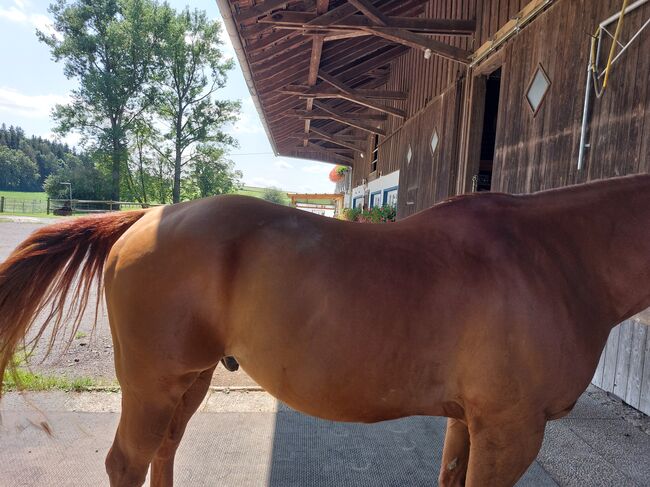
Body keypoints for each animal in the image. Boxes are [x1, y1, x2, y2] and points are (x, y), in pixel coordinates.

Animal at [1, 176, 648, 487]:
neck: (551, 255)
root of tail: (147, 217)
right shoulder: (511, 432)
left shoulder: (469, 422)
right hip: (152, 385)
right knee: (127, 464)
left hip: (191, 381)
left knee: (163, 451)